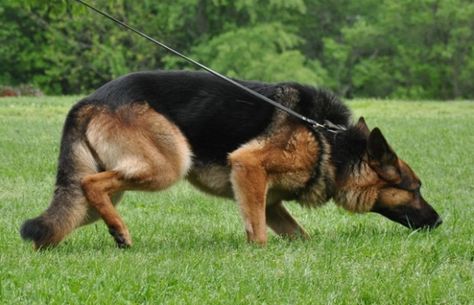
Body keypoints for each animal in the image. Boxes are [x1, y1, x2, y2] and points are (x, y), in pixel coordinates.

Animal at [19, 71, 440, 249]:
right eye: (415, 189)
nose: (439, 221)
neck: (330, 143)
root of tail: (89, 100)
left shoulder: (271, 202)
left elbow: (298, 234)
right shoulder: (248, 167)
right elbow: (258, 234)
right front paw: (258, 257)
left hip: (101, 190)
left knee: (69, 210)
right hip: (169, 164)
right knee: (91, 184)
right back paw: (121, 232)